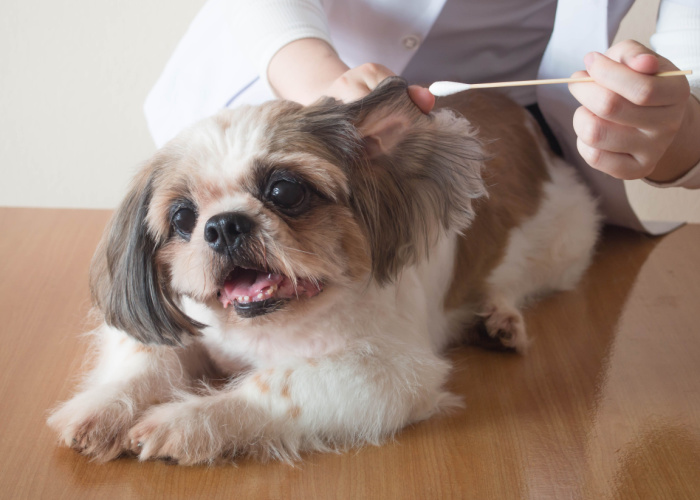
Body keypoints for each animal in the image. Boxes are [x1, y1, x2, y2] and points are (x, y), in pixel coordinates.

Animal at [47, 78, 596, 464]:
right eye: (183, 217)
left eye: (284, 191)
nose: (223, 225)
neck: (266, 327)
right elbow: (147, 359)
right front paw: (105, 407)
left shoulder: (387, 372)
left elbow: (276, 385)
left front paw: (186, 421)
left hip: (564, 243)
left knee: (516, 280)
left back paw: (499, 319)